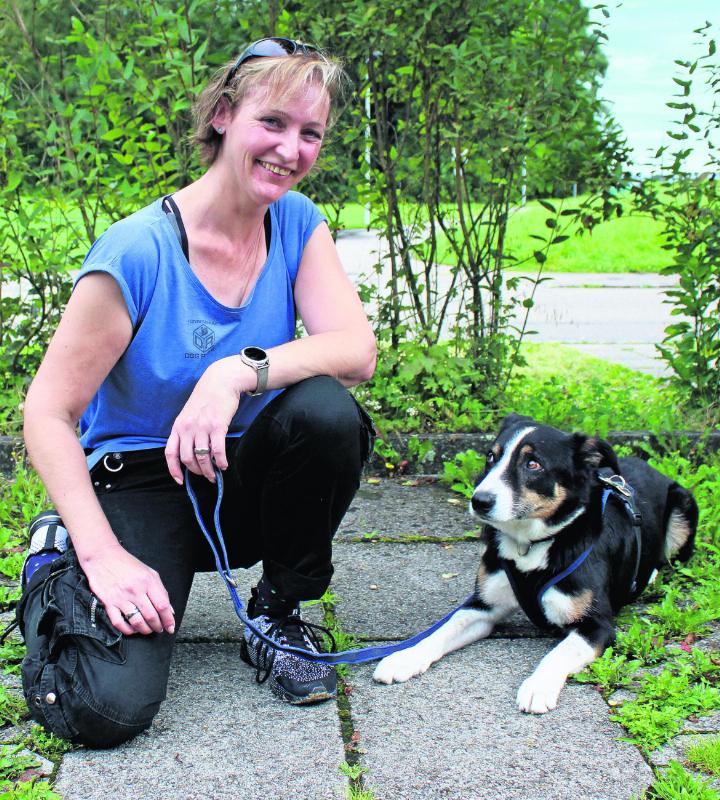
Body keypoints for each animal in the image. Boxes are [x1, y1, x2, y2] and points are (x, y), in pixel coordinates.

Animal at [374, 412, 696, 712]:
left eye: (533, 464)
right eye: (491, 456)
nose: (479, 501)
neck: (530, 545)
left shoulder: (597, 625)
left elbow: (558, 653)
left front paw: (538, 686)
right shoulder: (483, 605)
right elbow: (444, 629)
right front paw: (404, 658)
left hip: (683, 509)